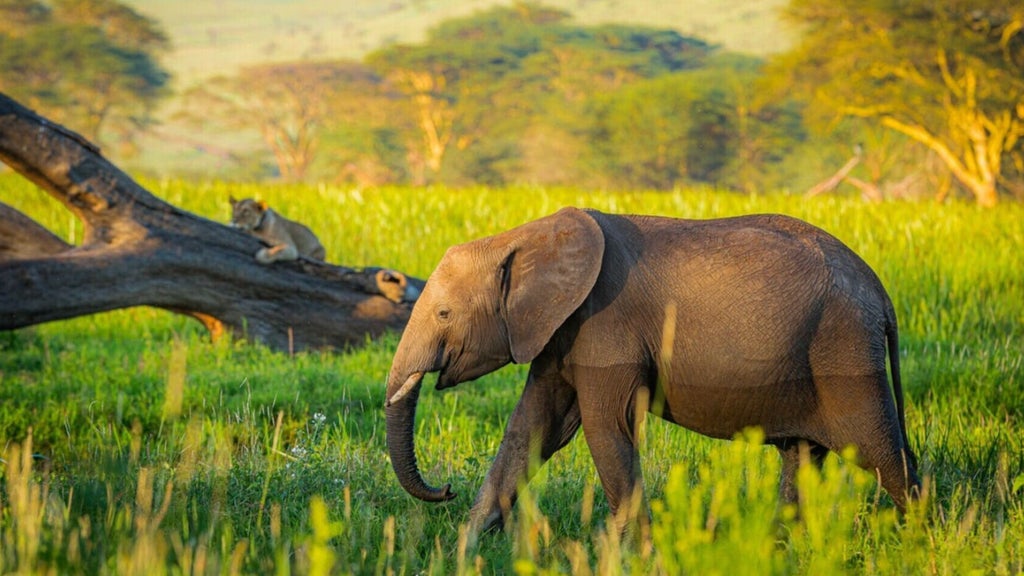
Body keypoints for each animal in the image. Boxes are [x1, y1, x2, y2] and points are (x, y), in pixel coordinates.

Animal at [382, 206, 921, 532]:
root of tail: (882, 294)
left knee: (883, 452)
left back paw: (919, 537)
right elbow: (533, 427)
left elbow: (603, 427)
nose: (446, 489)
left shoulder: (606, 325)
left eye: (444, 314)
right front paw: (469, 544)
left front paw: (627, 550)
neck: (523, 237)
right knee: (804, 458)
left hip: (845, 353)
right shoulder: (559, 330)